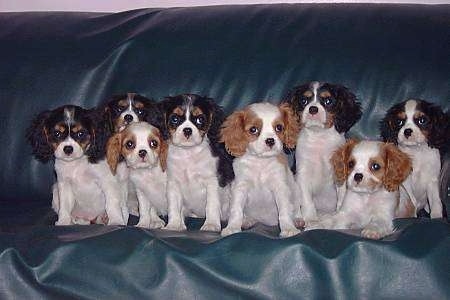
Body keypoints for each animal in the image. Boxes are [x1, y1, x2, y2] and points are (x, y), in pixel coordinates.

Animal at [220, 102, 300, 238]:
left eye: (279, 127)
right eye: (253, 130)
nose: (270, 140)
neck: (260, 161)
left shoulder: (280, 187)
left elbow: (284, 210)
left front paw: (289, 228)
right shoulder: (240, 187)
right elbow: (236, 210)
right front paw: (232, 227)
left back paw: (298, 220)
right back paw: (247, 221)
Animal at [284, 81, 364, 220]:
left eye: (328, 101)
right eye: (304, 101)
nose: (313, 109)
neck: (319, 136)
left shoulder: (340, 171)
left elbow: (342, 195)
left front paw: (339, 213)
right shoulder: (302, 173)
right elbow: (306, 198)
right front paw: (310, 218)